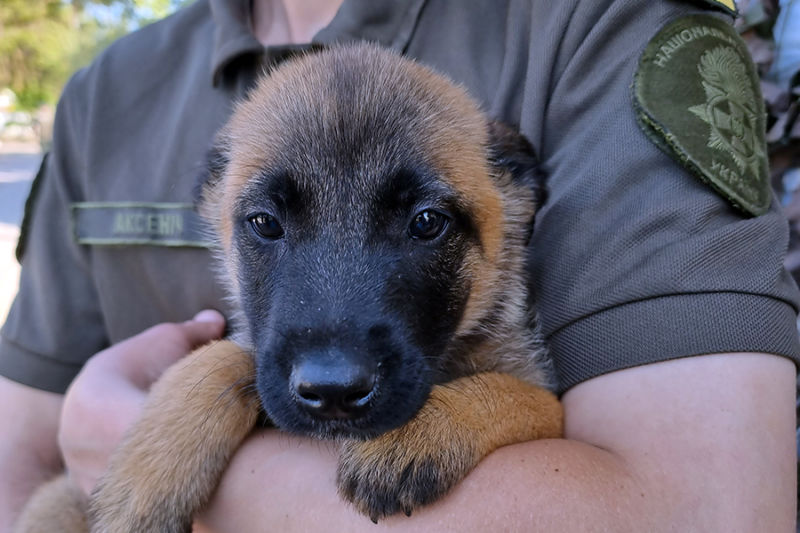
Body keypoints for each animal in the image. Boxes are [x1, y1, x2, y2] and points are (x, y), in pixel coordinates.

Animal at [14, 44, 564, 532]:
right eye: (265, 223)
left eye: (428, 222)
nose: (334, 391)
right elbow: (220, 359)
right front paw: (148, 474)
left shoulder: (544, 398)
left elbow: (518, 396)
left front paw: (422, 431)